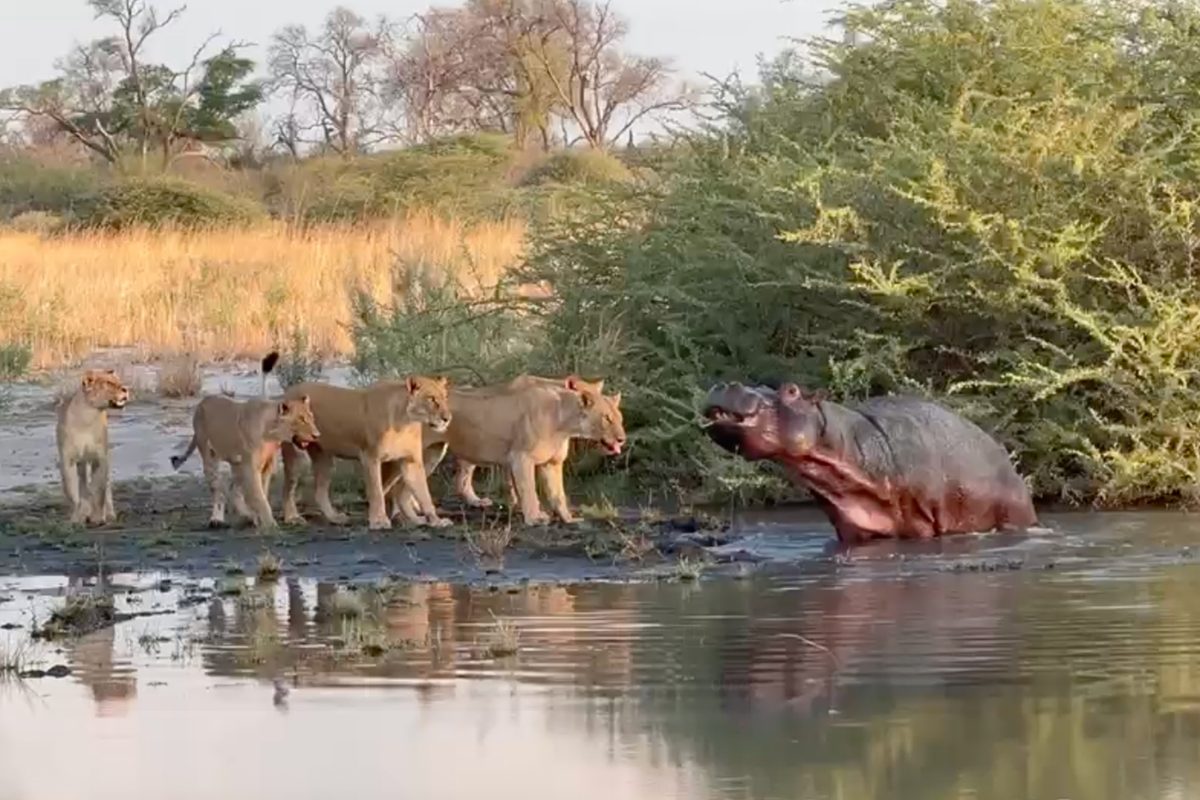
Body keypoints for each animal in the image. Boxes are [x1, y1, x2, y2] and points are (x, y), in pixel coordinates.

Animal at [56, 368, 130, 525]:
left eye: (118, 381)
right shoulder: (68, 460)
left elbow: (99, 491)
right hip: (81, 462)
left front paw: (98, 517)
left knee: (106, 487)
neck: (87, 418)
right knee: (83, 484)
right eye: (108, 383)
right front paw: (78, 517)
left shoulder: (100, 458)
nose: (126, 389)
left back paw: (110, 514)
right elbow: (73, 491)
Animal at [170, 353, 320, 530]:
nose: (317, 435)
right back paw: (217, 519)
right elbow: (259, 498)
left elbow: (261, 494)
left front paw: (259, 520)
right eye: (301, 419)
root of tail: (201, 403)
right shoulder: (251, 467)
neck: (271, 433)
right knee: (218, 491)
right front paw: (269, 524)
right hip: (210, 457)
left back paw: (247, 516)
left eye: (311, 418)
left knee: (233, 490)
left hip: (237, 463)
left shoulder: (265, 466)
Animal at [279, 375, 453, 530]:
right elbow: (376, 492)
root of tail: (289, 391)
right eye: (431, 399)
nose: (447, 418)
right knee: (288, 488)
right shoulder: (370, 457)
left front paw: (437, 521)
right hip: (297, 456)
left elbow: (424, 494)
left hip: (324, 459)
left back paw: (335, 518)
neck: (405, 423)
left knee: (319, 491)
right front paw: (379, 521)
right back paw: (292, 518)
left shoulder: (411, 462)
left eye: (445, 397)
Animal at [389, 375, 625, 525]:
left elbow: (558, 494)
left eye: (619, 418)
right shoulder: (521, 457)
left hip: (432, 454)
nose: (622, 439)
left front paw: (568, 518)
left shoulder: (552, 463)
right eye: (607, 418)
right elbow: (528, 490)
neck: (565, 422)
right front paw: (534, 518)